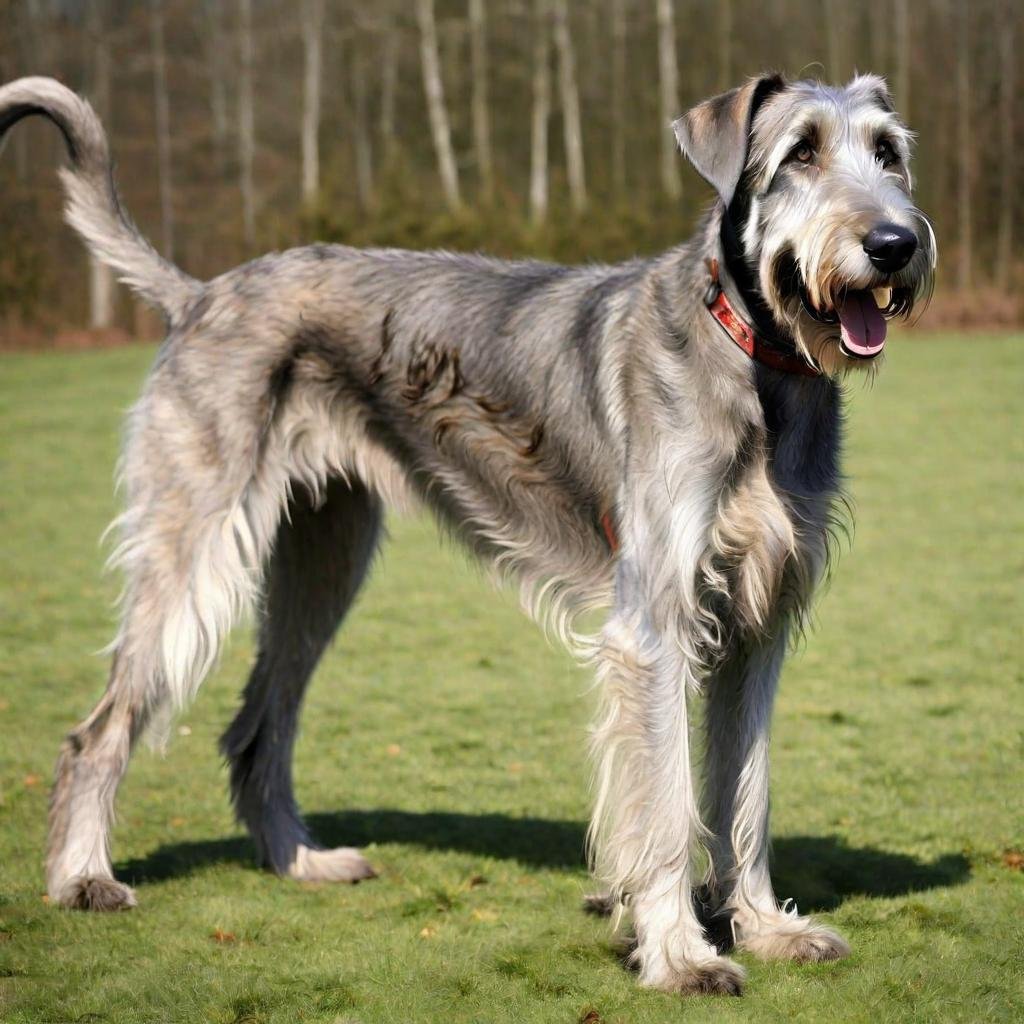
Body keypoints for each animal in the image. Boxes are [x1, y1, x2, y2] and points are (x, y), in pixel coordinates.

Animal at [0, 70, 933, 991]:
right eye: (800, 152)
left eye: (888, 152)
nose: (894, 244)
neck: (754, 362)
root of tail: (201, 294)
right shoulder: (656, 626)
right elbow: (667, 806)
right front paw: (679, 953)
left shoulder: (757, 630)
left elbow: (745, 795)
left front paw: (766, 929)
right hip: (193, 553)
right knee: (97, 733)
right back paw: (83, 879)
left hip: (323, 566)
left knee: (257, 728)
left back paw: (301, 862)